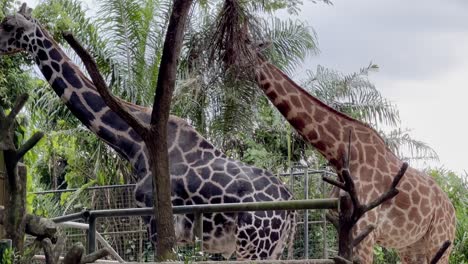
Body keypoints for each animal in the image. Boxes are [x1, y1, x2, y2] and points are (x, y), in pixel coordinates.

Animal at [0, 6, 296, 260]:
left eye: (8, 25)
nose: (0, 46)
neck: (134, 144)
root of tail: (290, 205)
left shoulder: (155, 219)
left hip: (255, 244)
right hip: (273, 247)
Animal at [254, 56, 456, 262]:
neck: (338, 153)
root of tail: (452, 210)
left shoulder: (365, 226)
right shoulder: (344, 223)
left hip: (440, 239)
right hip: (411, 246)